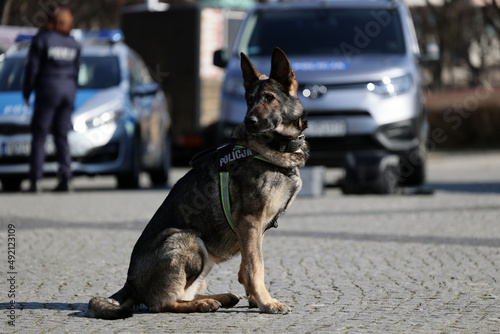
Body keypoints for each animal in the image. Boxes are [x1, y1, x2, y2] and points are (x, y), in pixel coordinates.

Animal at [88, 47, 308, 318]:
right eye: (249, 100)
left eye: (269, 98)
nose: (249, 121)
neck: (275, 147)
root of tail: (130, 282)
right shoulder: (250, 222)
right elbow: (257, 267)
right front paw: (266, 302)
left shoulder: (255, 230)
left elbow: (247, 265)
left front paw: (254, 299)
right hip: (189, 240)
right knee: (162, 303)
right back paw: (202, 303)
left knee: (186, 293)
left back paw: (218, 298)